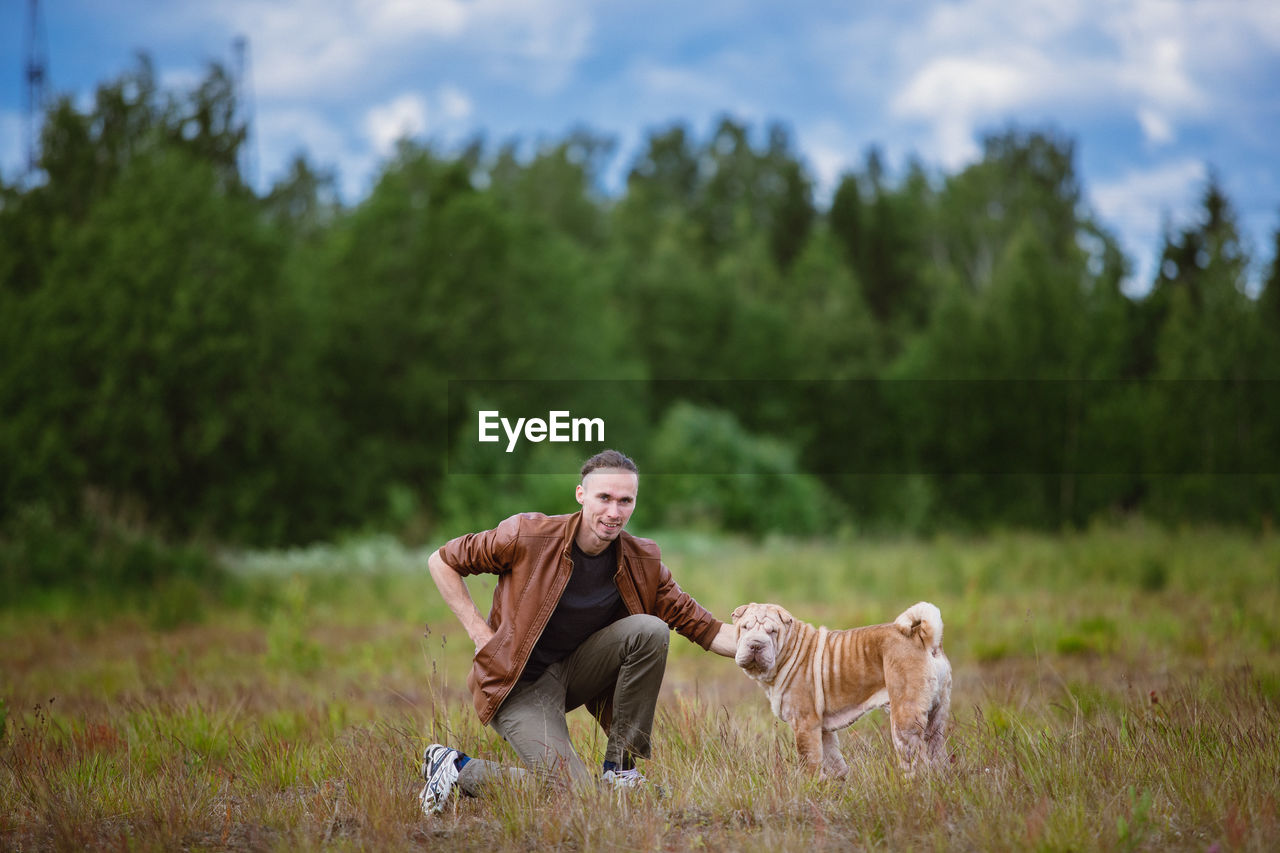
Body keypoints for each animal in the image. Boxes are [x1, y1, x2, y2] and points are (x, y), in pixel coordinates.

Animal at [732, 596, 952, 778]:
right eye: (745, 627)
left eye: (773, 631)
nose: (755, 645)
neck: (789, 650)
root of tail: (921, 637)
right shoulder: (822, 730)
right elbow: (834, 763)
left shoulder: (805, 724)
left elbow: (809, 764)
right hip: (937, 719)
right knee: (937, 756)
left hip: (904, 721)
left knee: (916, 762)